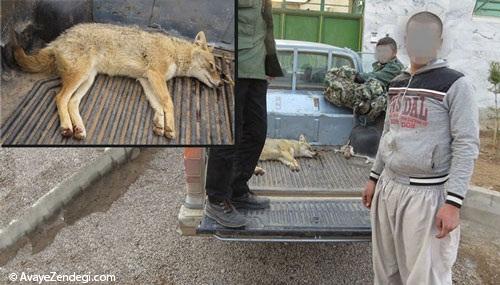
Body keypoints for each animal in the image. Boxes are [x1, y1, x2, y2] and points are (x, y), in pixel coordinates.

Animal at [13, 23, 223, 140]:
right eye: (212, 66)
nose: (220, 83)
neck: (175, 51)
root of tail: (58, 39)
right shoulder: (155, 75)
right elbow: (168, 103)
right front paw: (170, 127)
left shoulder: (145, 80)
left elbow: (158, 106)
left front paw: (160, 125)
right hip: (80, 76)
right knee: (60, 98)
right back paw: (66, 127)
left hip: (88, 79)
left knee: (71, 102)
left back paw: (78, 129)